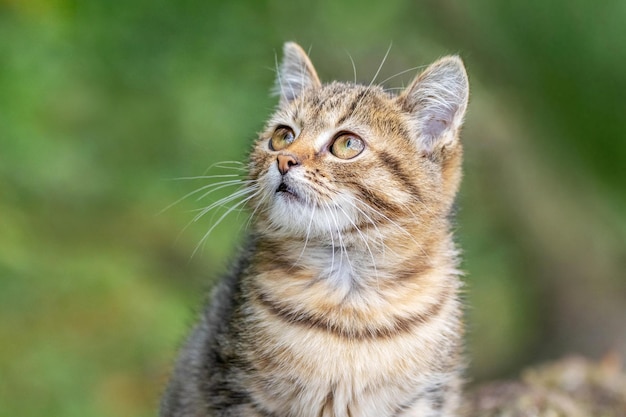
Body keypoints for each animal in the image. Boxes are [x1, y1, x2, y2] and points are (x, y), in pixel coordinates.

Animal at [161, 40, 468, 414]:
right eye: (282, 136)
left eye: (347, 144)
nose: (283, 159)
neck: (350, 305)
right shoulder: (237, 392)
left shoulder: (424, 399)